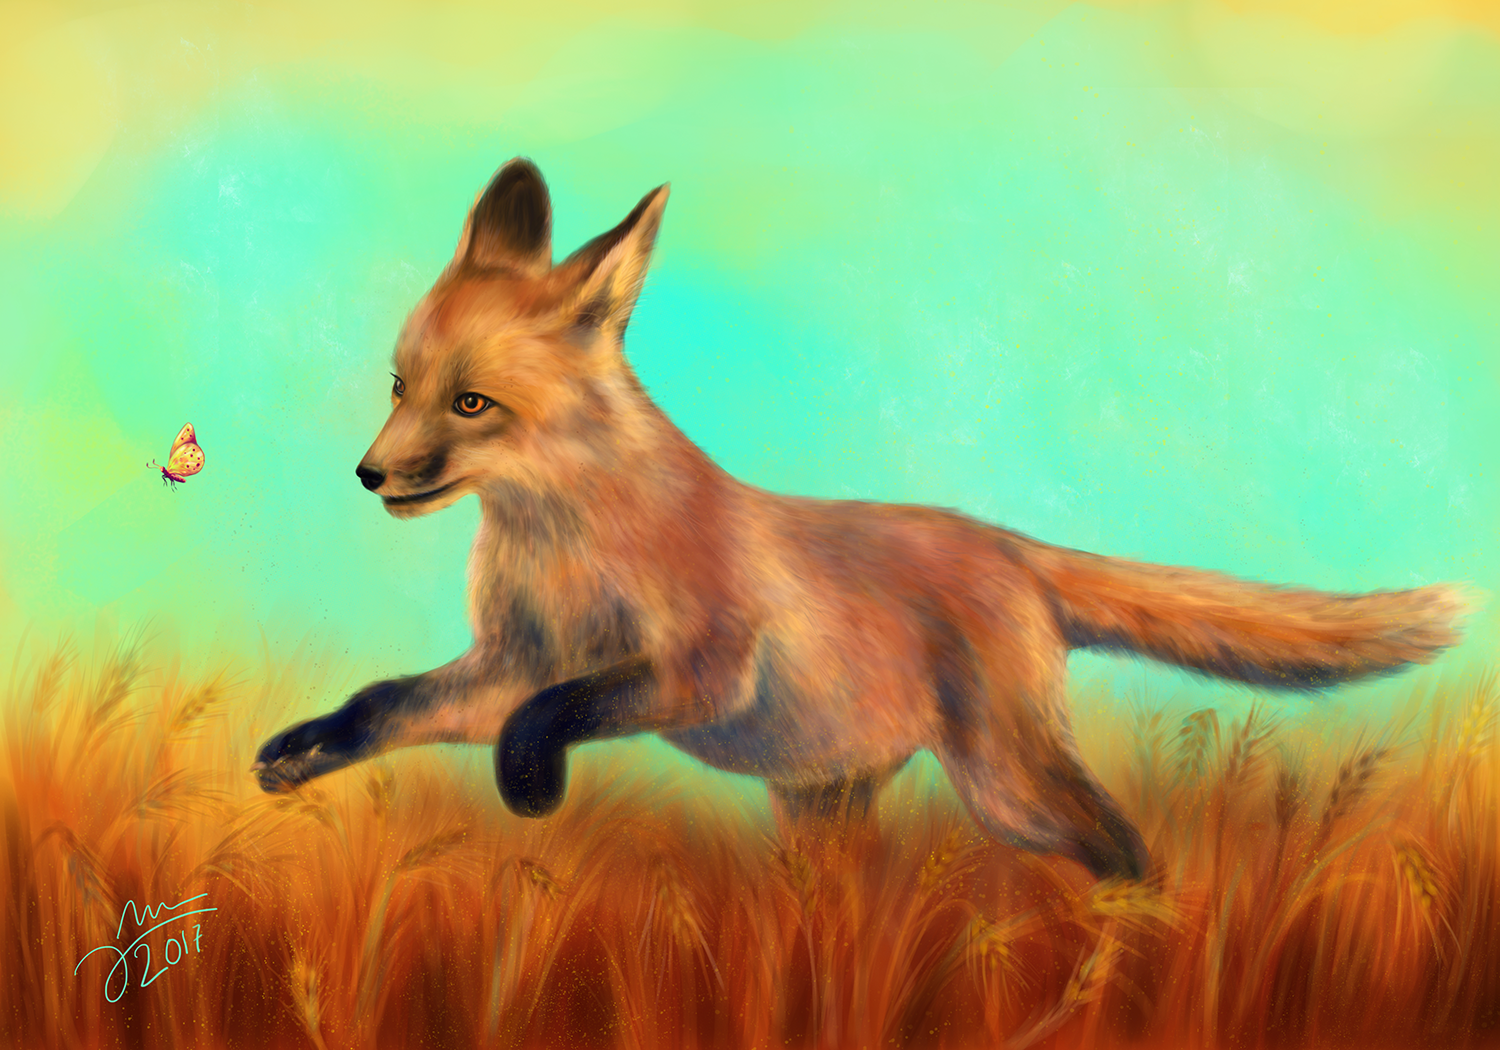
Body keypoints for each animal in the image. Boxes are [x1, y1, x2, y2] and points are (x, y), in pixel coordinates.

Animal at [252, 157, 1471, 881]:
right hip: (827, 804)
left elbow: (547, 716)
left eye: (470, 404)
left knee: (1127, 849)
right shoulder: (510, 659)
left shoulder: (698, 666)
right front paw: (301, 752)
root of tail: (1007, 544)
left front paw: (527, 790)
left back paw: (1135, 947)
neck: (563, 545)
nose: (368, 474)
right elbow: (389, 704)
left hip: (1006, 786)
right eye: (397, 385)